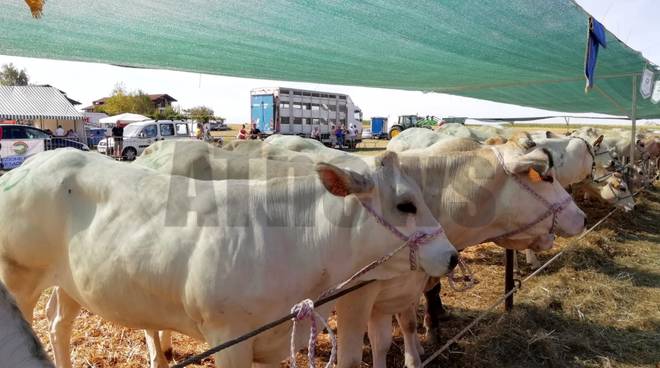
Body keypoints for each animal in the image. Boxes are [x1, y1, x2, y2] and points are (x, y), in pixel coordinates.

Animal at [0, 148, 458, 366]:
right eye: (405, 204)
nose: (452, 256)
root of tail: (31, 164)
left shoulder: (276, 344)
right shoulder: (228, 338)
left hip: (71, 280)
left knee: (58, 321)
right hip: (18, 275)